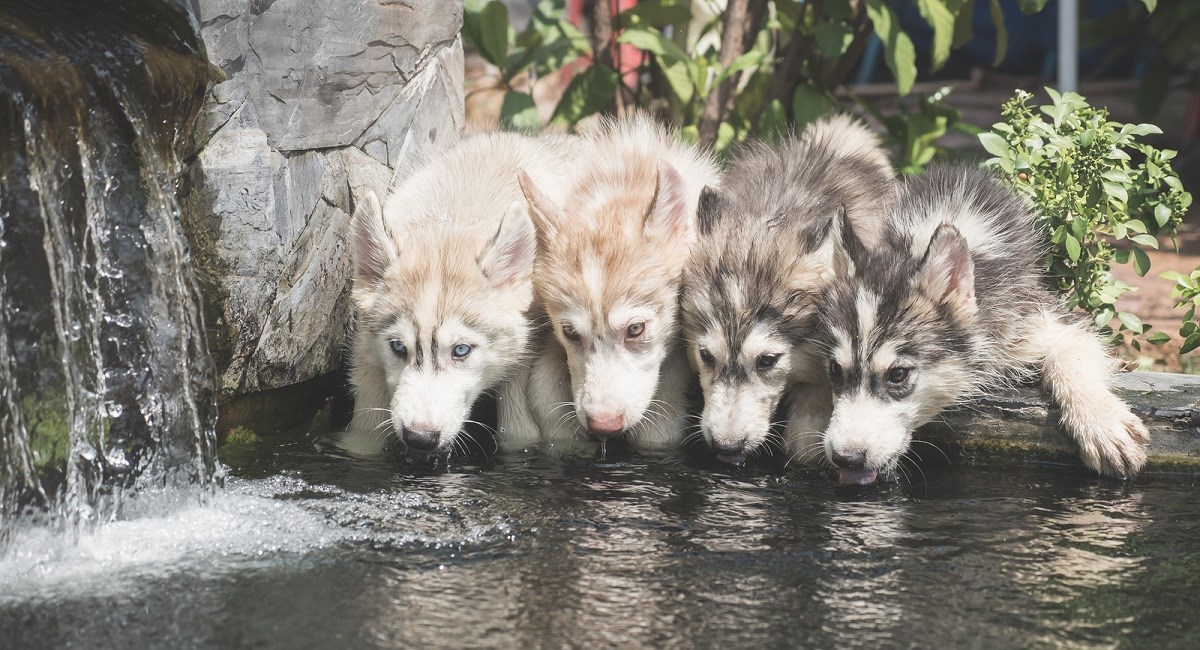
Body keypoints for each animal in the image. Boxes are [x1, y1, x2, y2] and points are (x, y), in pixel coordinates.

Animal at [348, 133, 571, 458]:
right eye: (398, 348)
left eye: (461, 350)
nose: (420, 438)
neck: (452, 221)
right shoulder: (367, 363)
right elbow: (363, 433)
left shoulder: (520, 360)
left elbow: (518, 430)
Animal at [820, 165, 1147, 486]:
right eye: (835, 370)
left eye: (897, 375)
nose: (846, 458)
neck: (912, 247)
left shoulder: (1039, 319)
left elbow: (1072, 355)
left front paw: (1102, 423)